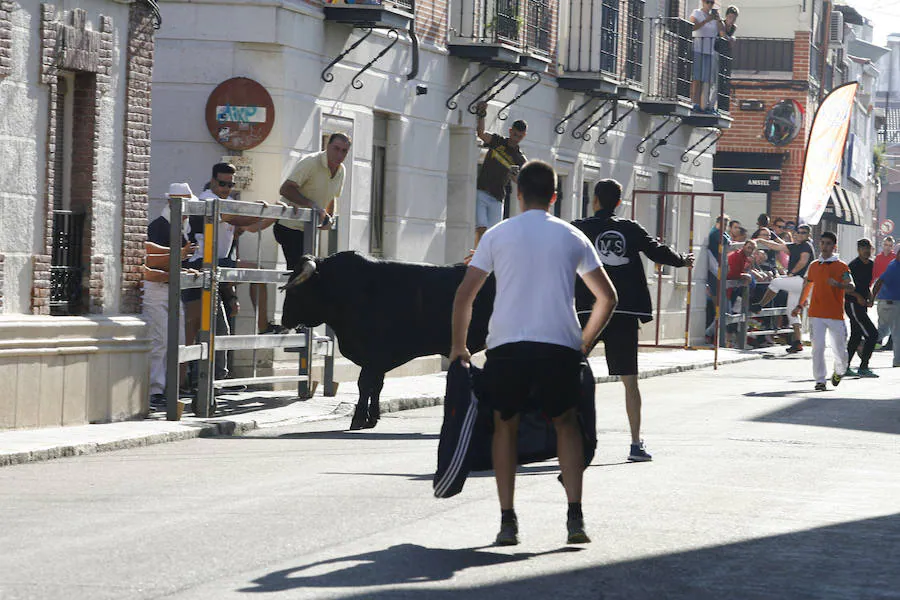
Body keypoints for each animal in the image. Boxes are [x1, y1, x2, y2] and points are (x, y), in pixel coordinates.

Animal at [280, 251, 596, 428]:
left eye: (296, 290)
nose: (282, 321)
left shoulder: (373, 356)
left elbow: (364, 385)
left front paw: (358, 419)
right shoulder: (379, 359)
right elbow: (376, 387)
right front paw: (372, 418)